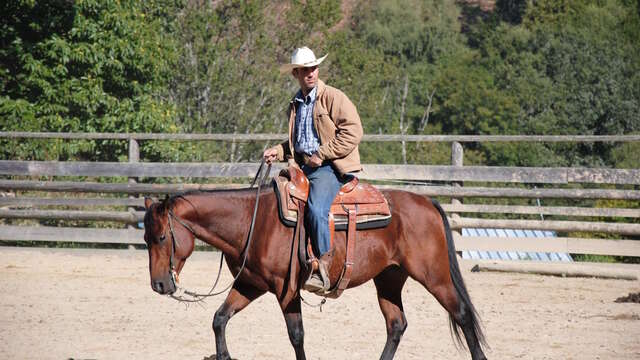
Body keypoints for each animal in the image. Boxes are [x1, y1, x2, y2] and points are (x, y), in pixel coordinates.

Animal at [142, 186, 488, 360]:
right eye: (145, 238)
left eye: (161, 237)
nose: (158, 284)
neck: (252, 221)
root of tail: (427, 202)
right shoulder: (251, 284)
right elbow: (219, 319)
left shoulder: (286, 290)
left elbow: (296, 336)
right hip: (389, 278)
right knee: (396, 325)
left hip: (434, 276)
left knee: (462, 314)